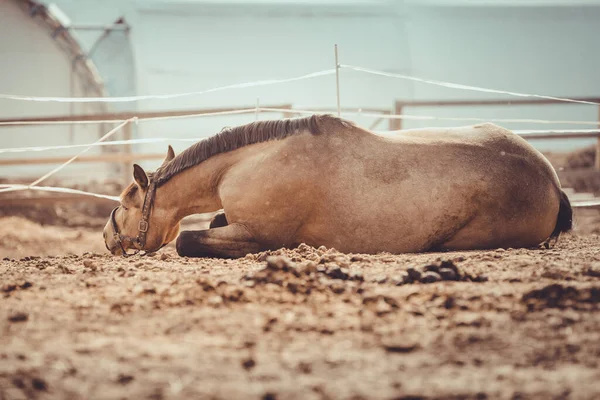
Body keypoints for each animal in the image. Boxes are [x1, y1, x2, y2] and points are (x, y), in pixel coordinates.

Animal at [102, 114, 572, 258]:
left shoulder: (257, 234)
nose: (107, 237)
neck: (248, 163)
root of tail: (551, 179)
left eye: (125, 203)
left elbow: (188, 241)